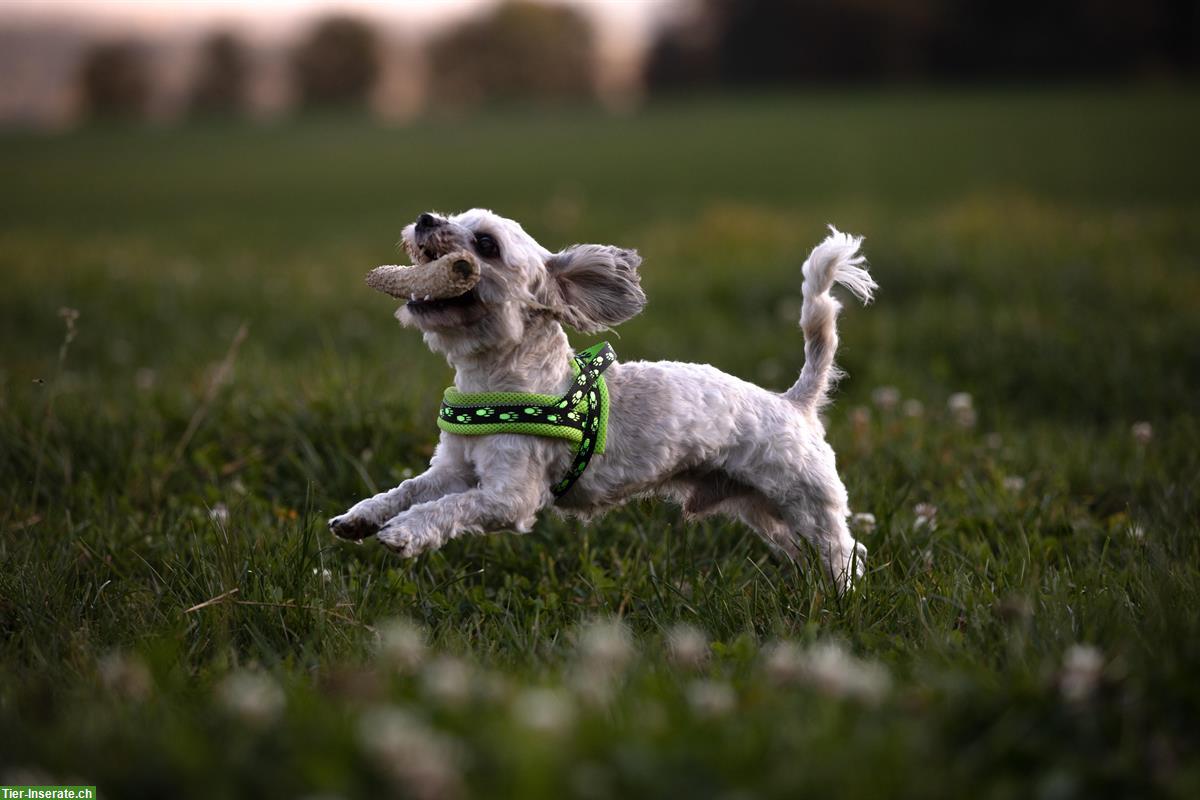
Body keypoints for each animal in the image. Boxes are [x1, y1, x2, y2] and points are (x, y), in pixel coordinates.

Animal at [333, 209, 878, 592]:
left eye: (486, 244)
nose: (425, 219)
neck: (496, 382)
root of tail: (794, 402)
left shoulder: (509, 496)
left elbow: (448, 508)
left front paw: (404, 533)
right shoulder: (453, 469)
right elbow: (408, 489)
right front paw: (361, 517)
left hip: (807, 502)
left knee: (846, 552)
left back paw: (841, 602)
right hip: (766, 512)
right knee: (807, 553)